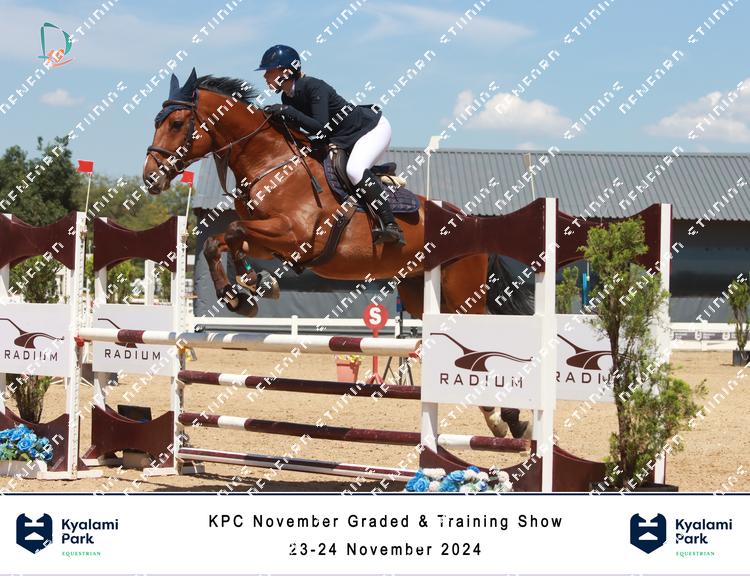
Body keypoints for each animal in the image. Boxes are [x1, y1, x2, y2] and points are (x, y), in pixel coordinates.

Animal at [142, 71, 532, 439]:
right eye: (157, 122)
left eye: (177, 123)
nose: (149, 178)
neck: (272, 162)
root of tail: (470, 222)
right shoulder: (271, 239)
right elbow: (220, 242)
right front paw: (242, 291)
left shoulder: (295, 235)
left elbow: (235, 231)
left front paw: (248, 287)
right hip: (418, 291)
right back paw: (502, 420)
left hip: (462, 292)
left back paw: (508, 419)